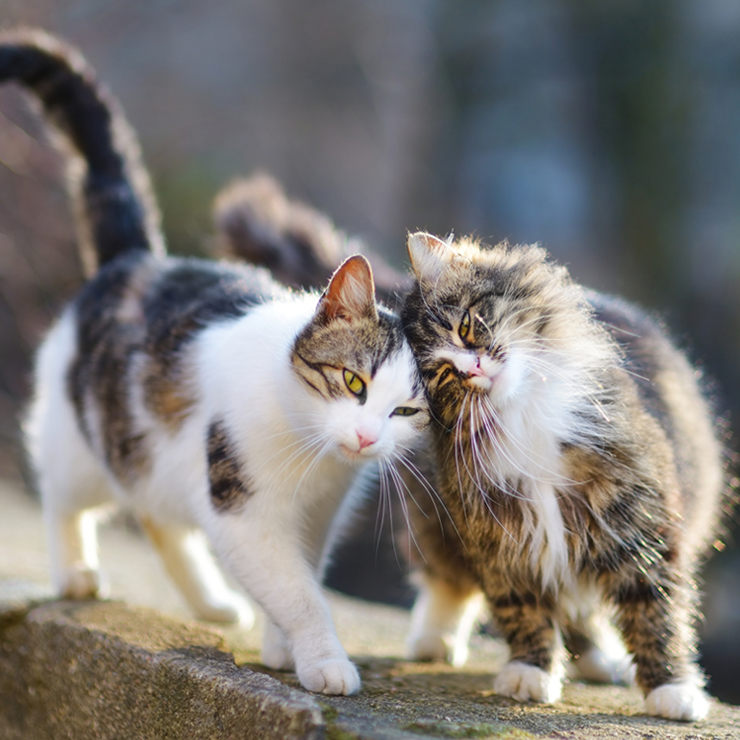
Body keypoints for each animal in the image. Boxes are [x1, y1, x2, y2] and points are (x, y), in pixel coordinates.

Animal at [1, 28, 428, 696]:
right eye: (353, 381)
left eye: (407, 411)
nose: (364, 438)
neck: (310, 455)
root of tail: (139, 259)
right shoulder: (245, 513)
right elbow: (300, 593)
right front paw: (325, 661)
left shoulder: (317, 518)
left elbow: (301, 577)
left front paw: (283, 648)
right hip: (83, 441)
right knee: (63, 497)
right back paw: (74, 571)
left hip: (159, 459)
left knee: (159, 517)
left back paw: (211, 602)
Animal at [398, 233, 728, 724]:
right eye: (442, 374)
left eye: (466, 326)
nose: (474, 368)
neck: (522, 416)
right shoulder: (500, 537)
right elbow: (523, 610)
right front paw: (530, 672)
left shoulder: (636, 523)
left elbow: (656, 613)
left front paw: (673, 688)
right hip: (432, 517)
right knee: (447, 581)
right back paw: (435, 640)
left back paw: (604, 660)